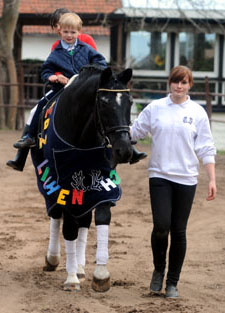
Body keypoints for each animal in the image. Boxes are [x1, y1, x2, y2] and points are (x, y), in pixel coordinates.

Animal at [31, 64, 134, 292]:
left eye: (130, 102)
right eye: (103, 103)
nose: (124, 150)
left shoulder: (102, 179)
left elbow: (101, 216)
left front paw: (101, 274)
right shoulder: (63, 182)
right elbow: (69, 226)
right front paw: (70, 279)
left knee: (84, 220)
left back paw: (79, 267)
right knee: (56, 213)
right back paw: (53, 259)